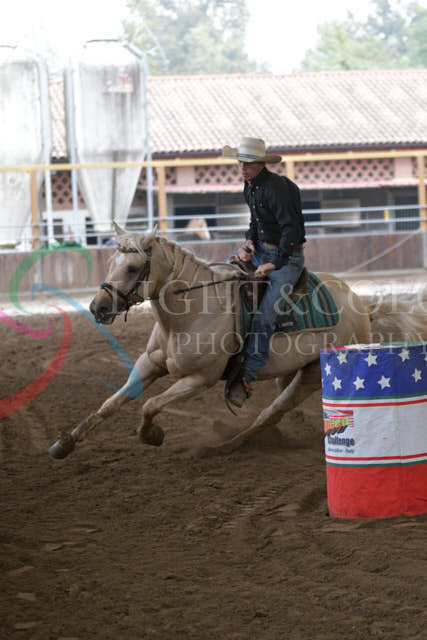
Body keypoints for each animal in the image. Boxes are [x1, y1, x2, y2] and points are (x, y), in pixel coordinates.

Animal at [48, 224, 426, 459]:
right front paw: (64, 444)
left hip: (312, 376)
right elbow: (111, 403)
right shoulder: (149, 364)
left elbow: (150, 405)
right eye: (112, 261)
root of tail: (362, 307)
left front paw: (151, 434)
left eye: (131, 267)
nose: (98, 307)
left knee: (271, 414)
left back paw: (224, 447)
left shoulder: (199, 379)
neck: (191, 312)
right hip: (292, 371)